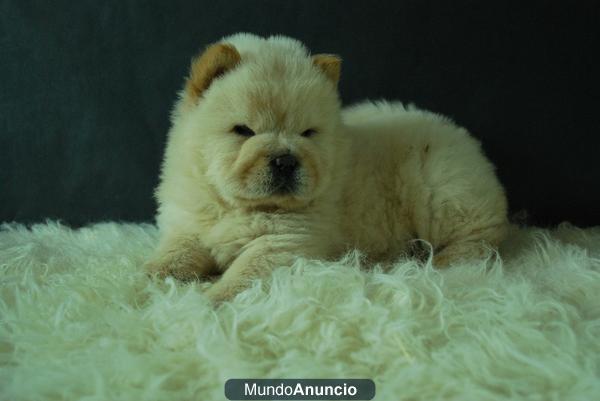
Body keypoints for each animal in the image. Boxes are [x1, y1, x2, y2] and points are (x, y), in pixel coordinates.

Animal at [145, 33, 506, 304]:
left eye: (308, 133)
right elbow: (174, 254)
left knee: (479, 240)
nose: (286, 160)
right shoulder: (188, 225)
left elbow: (245, 273)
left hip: (443, 193)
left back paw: (440, 262)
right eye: (244, 130)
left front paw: (211, 298)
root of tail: (465, 140)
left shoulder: (285, 243)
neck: (234, 207)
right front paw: (148, 278)